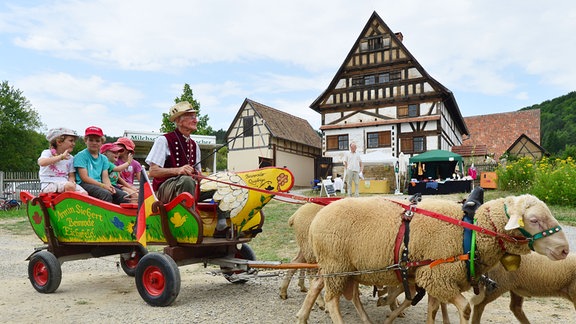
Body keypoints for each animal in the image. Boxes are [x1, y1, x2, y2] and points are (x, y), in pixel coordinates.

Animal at [296, 194, 572, 322]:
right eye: (534, 220)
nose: (564, 250)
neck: (470, 232)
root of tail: (319, 215)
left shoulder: (434, 278)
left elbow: (434, 310)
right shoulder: (438, 276)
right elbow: (465, 308)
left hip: (341, 267)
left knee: (324, 287)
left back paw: (305, 316)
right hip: (336, 264)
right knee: (331, 298)